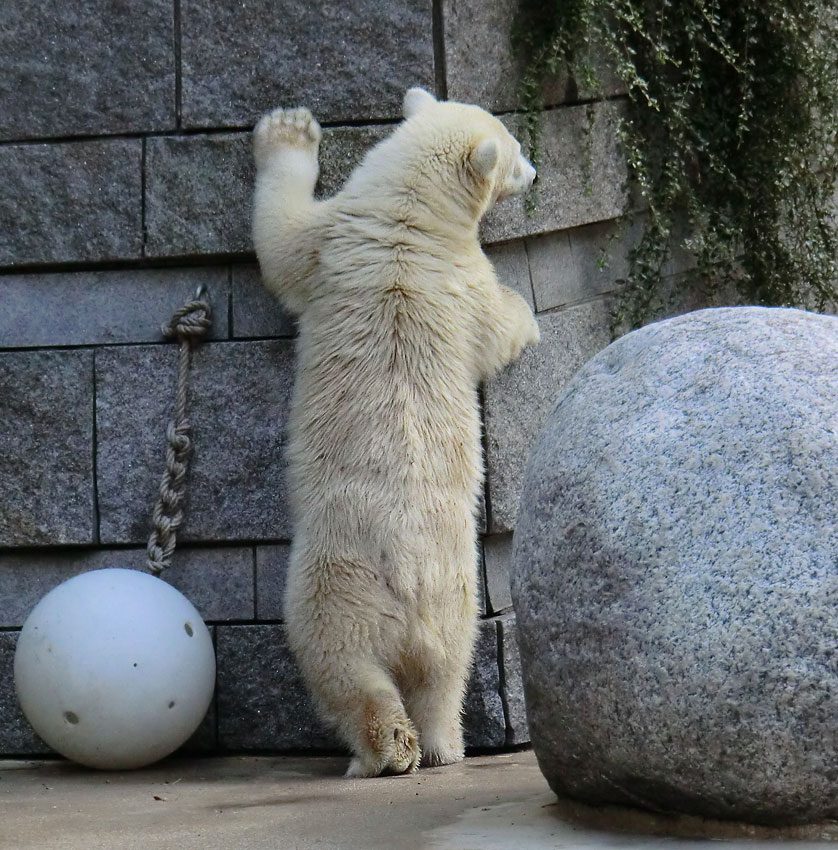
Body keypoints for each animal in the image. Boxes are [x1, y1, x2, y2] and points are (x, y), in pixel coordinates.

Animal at [253, 86, 540, 776]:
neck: (406, 216)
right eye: (516, 149)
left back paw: (385, 747)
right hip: (453, 595)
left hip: (338, 584)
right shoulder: (373, 247)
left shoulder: (336, 244)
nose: (538, 172)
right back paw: (440, 744)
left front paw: (289, 128)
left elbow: (279, 238)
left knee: (343, 665)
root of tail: (408, 573)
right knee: (444, 670)